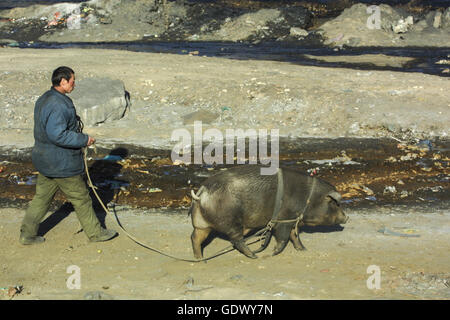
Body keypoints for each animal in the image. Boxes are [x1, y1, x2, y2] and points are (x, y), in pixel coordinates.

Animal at [189, 164, 348, 258]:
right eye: (335, 204)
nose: (346, 218)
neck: (309, 197)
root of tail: (203, 191)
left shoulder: (292, 220)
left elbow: (294, 236)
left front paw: (303, 250)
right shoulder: (283, 219)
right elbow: (284, 237)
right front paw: (274, 252)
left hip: (201, 224)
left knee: (195, 237)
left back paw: (200, 259)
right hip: (231, 221)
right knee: (236, 240)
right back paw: (254, 256)